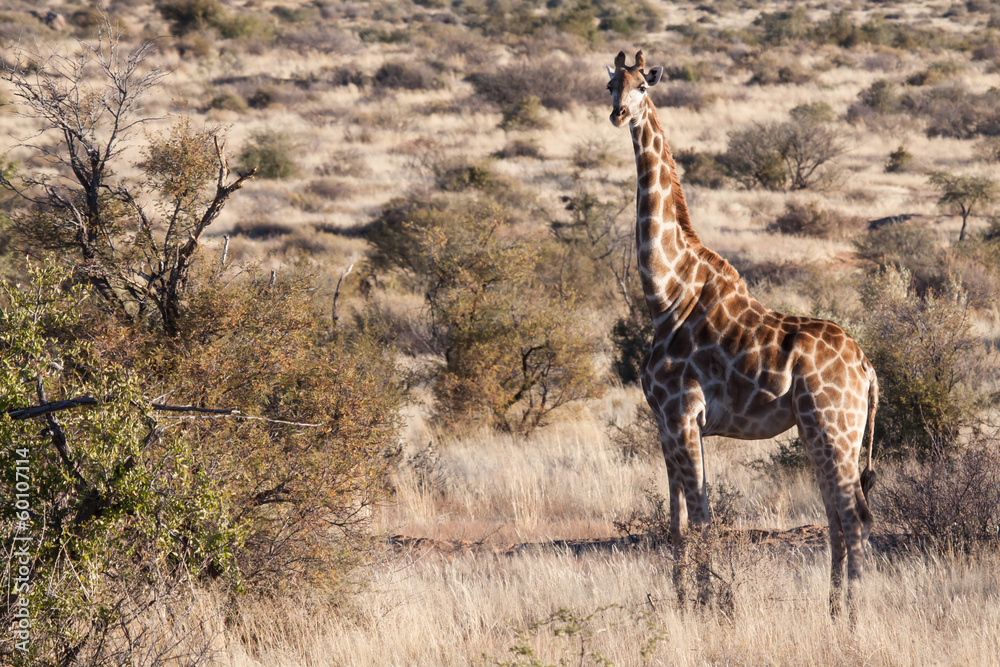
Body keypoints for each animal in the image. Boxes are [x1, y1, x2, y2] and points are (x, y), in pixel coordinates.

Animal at [605, 50, 878, 619]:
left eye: (643, 86)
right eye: (610, 84)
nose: (618, 114)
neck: (666, 294)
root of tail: (867, 369)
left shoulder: (683, 415)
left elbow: (702, 518)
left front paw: (708, 606)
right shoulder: (664, 423)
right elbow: (676, 521)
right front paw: (682, 601)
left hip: (835, 428)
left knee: (855, 516)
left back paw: (852, 618)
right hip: (818, 431)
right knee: (837, 516)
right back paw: (831, 610)